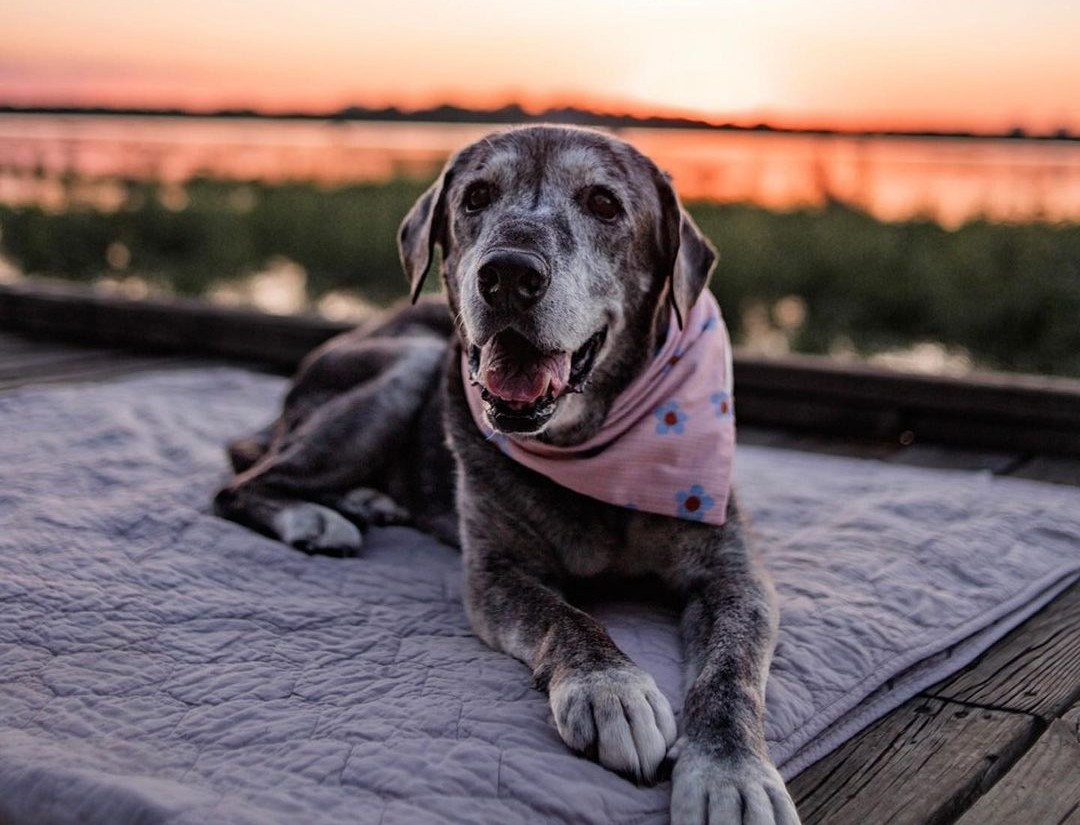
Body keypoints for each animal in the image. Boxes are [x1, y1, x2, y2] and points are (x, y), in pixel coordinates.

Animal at [212, 124, 803, 825]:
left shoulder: (735, 576)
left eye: (604, 203)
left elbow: (730, 673)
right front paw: (611, 689)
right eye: (476, 197)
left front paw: (729, 772)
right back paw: (317, 516)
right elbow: (563, 615)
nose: (510, 275)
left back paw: (365, 500)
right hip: (408, 365)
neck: (592, 449)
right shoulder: (495, 572)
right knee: (241, 483)